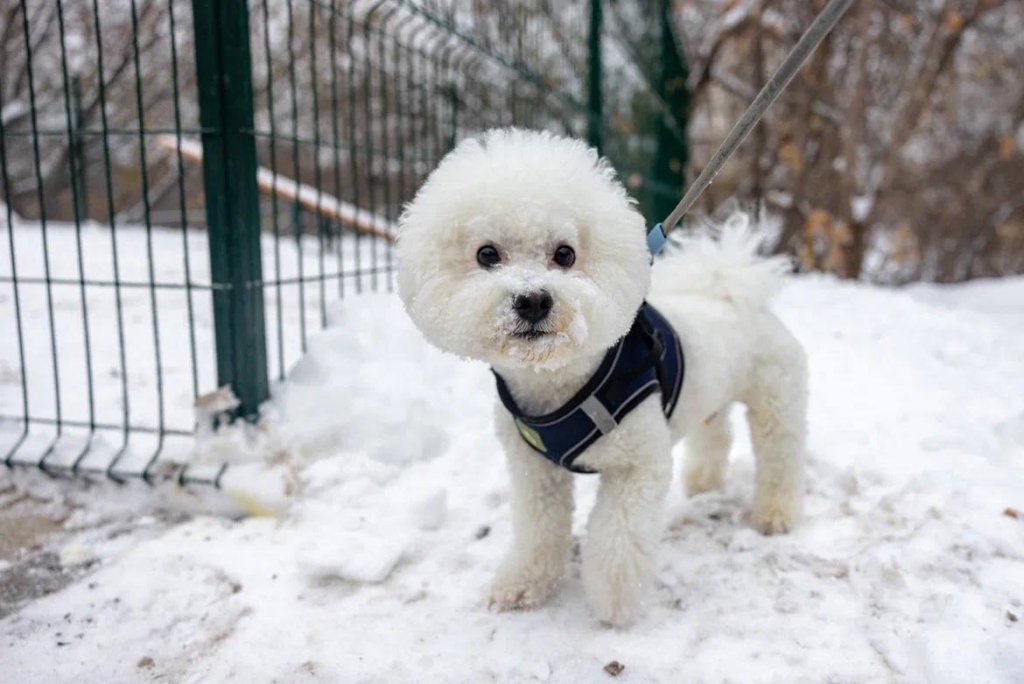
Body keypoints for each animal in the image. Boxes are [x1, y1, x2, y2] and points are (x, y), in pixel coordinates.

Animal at [395, 127, 802, 626]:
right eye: (487, 254)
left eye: (565, 254)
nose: (533, 300)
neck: (559, 380)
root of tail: (733, 293)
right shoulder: (534, 471)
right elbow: (537, 529)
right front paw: (523, 584)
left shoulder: (637, 466)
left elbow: (618, 538)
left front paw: (616, 602)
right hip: (714, 395)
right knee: (716, 433)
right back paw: (704, 483)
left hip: (777, 400)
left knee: (780, 457)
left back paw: (776, 514)